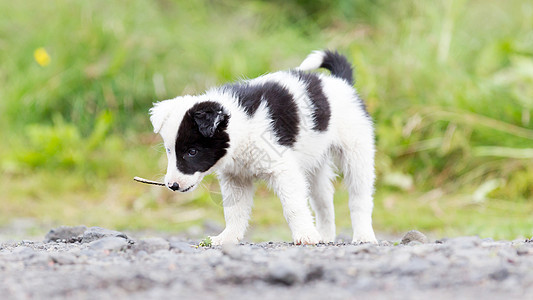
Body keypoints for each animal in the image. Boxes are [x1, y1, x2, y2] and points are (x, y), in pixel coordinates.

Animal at [148, 50, 376, 245]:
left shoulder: (284, 169)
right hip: (315, 162)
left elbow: (293, 205)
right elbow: (234, 211)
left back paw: (363, 236)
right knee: (323, 200)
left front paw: (305, 236)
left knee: (359, 197)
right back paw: (325, 236)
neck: (241, 125)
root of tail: (340, 82)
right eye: (169, 151)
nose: (172, 185)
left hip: (356, 151)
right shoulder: (236, 178)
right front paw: (227, 238)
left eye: (192, 151)